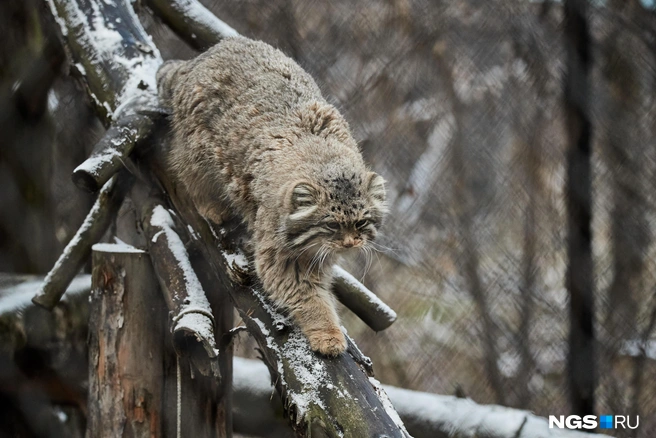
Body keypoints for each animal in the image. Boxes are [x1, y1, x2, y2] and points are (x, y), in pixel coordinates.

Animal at [157, 36, 386, 354]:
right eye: (331, 225)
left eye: (361, 223)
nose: (351, 243)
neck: (323, 156)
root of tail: (204, 56)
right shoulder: (279, 255)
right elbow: (308, 297)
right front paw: (327, 333)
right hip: (198, 150)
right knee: (184, 169)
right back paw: (211, 207)